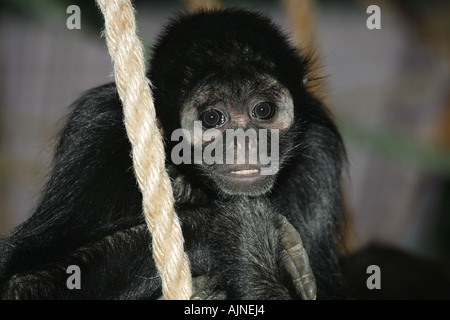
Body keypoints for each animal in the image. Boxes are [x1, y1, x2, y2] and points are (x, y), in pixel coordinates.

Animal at [0, 9, 344, 300]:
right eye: (212, 118)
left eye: (263, 110)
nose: (244, 141)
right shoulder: (95, 131)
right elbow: (17, 281)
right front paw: (230, 230)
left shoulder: (317, 153)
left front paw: (252, 254)